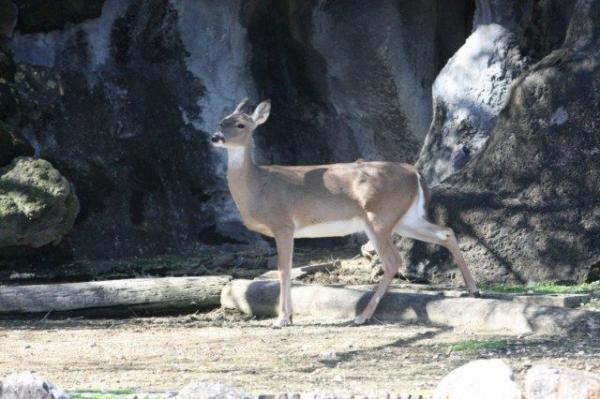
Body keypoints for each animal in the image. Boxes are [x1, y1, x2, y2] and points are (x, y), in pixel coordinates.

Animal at [211, 99, 478, 328]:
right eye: (222, 121)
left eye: (241, 124)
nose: (216, 137)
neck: (258, 186)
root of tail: (415, 172)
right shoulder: (290, 230)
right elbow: (288, 268)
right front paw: (289, 316)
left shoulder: (283, 223)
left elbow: (283, 269)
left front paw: (282, 319)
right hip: (405, 218)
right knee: (446, 232)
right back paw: (473, 289)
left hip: (379, 216)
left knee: (394, 260)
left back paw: (362, 316)